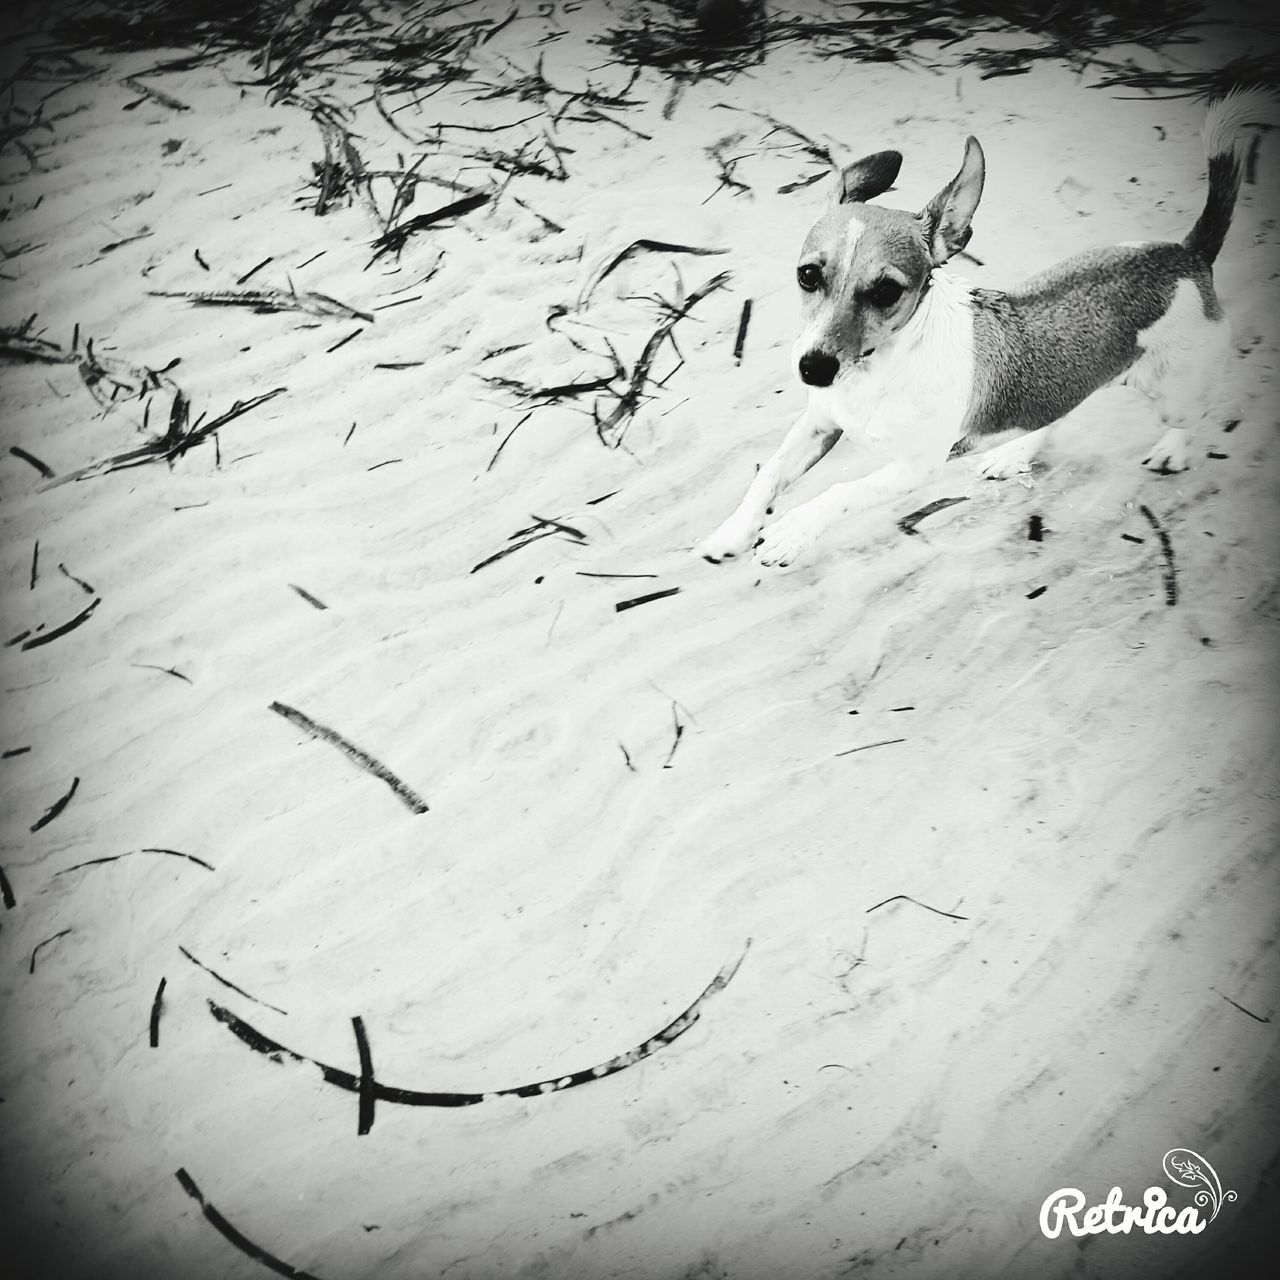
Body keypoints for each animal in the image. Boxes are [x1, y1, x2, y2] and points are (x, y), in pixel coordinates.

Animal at [706, 88, 1274, 565]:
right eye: (808, 275)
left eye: (886, 291)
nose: (814, 369)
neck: (878, 372)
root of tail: (1188, 253)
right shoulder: (819, 422)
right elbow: (769, 475)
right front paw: (732, 532)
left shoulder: (915, 466)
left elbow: (841, 493)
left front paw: (794, 530)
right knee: (1055, 411)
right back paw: (1016, 452)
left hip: (1176, 390)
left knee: (1187, 414)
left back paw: (1173, 448)